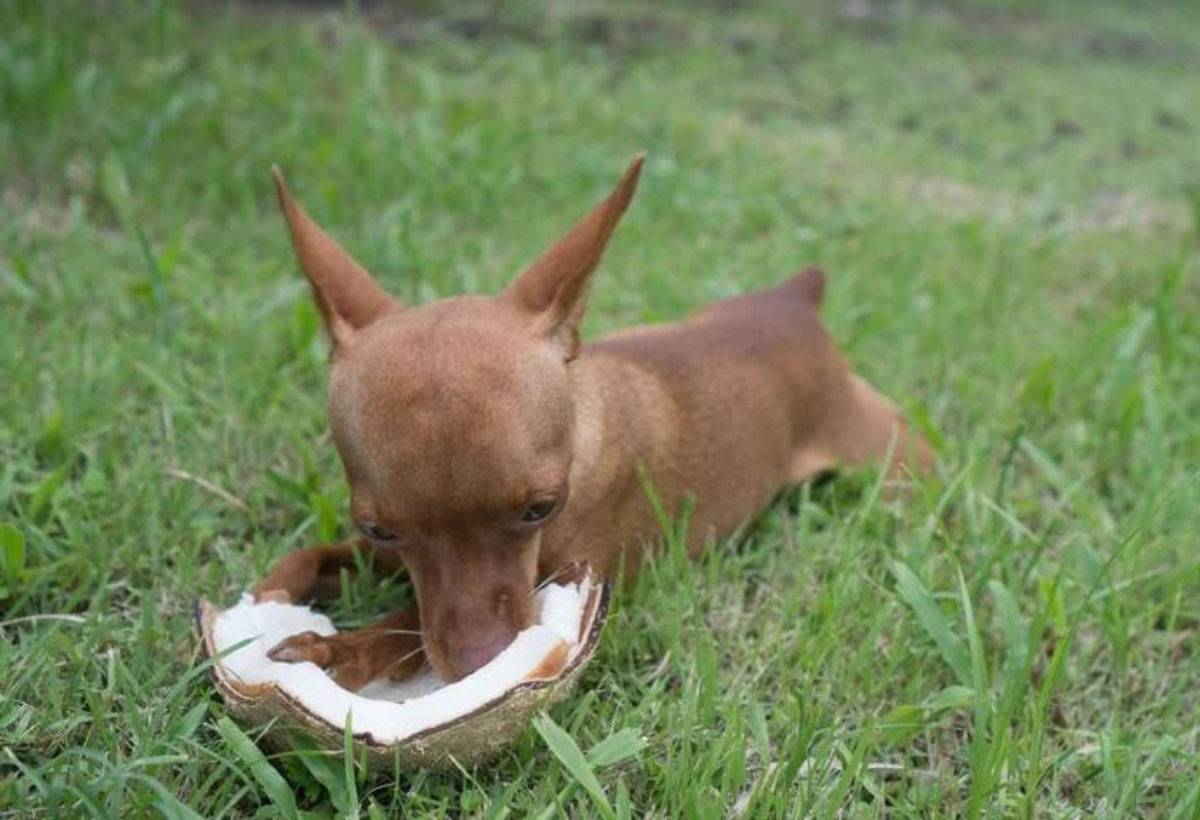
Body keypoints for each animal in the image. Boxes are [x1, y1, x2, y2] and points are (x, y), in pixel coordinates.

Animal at [250, 152, 926, 686]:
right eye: (378, 529)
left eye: (540, 509)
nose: (481, 663)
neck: (583, 436)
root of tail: (796, 303)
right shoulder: (383, 556)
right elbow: (312, 558)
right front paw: (270, 593)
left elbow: (405, 625)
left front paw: (341, 650)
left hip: (897, 467)